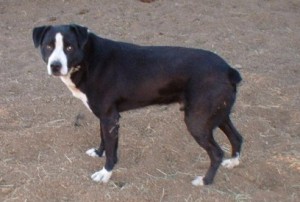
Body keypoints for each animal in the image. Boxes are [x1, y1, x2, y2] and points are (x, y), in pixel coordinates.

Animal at [32, 24, 243, 186]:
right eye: (48, 46)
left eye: (69, 48)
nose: (55, 66)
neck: (88, 59)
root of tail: (228, 70)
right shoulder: (105, 116)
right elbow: (103, 140)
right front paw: (98, 153)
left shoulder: (110, 117)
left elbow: (111, 151)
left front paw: (105, 173)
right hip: (217, 115)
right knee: (237, 137)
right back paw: (233, 162)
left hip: (197, 121)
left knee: (217, 153)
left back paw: (205, 181)